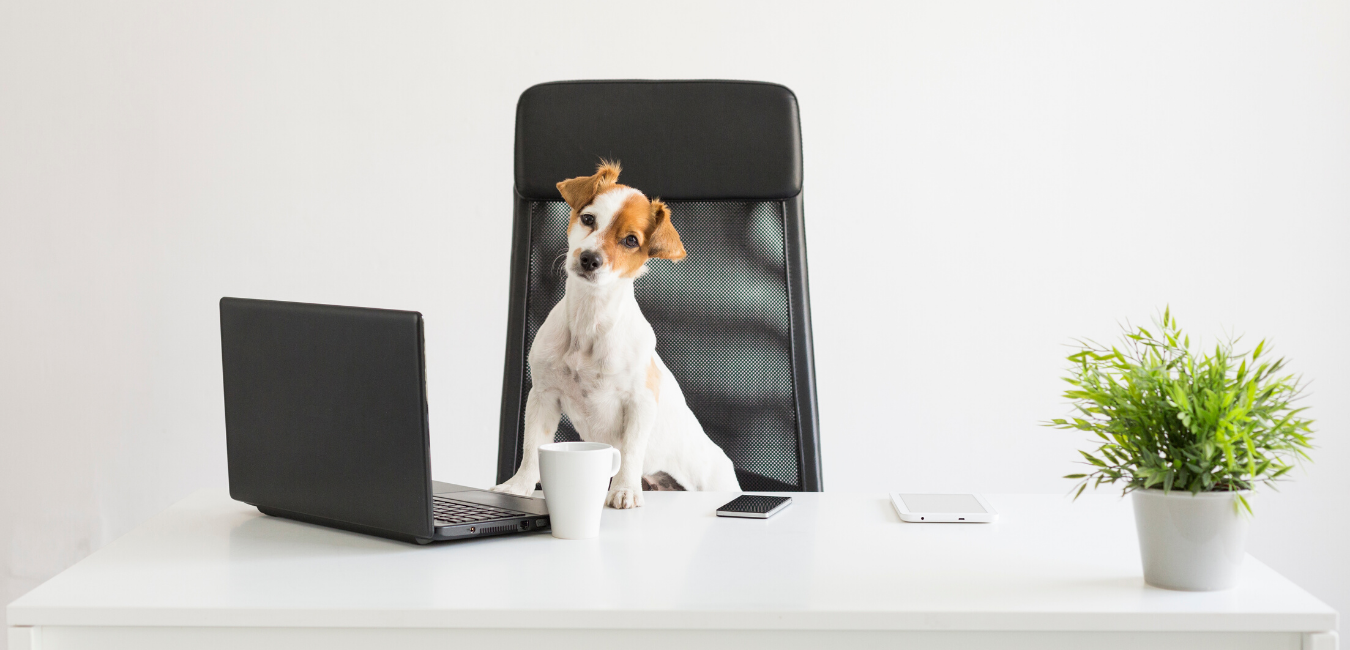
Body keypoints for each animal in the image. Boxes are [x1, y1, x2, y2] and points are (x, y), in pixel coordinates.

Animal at [491, 160, 739, 508]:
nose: (589, 259)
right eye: (588, 219)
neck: (589, 322)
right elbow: (531, 448)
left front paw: (624, 490)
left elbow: (631, 453)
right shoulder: (543, 395)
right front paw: (519, 487)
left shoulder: (639, 404)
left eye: (631, 240)